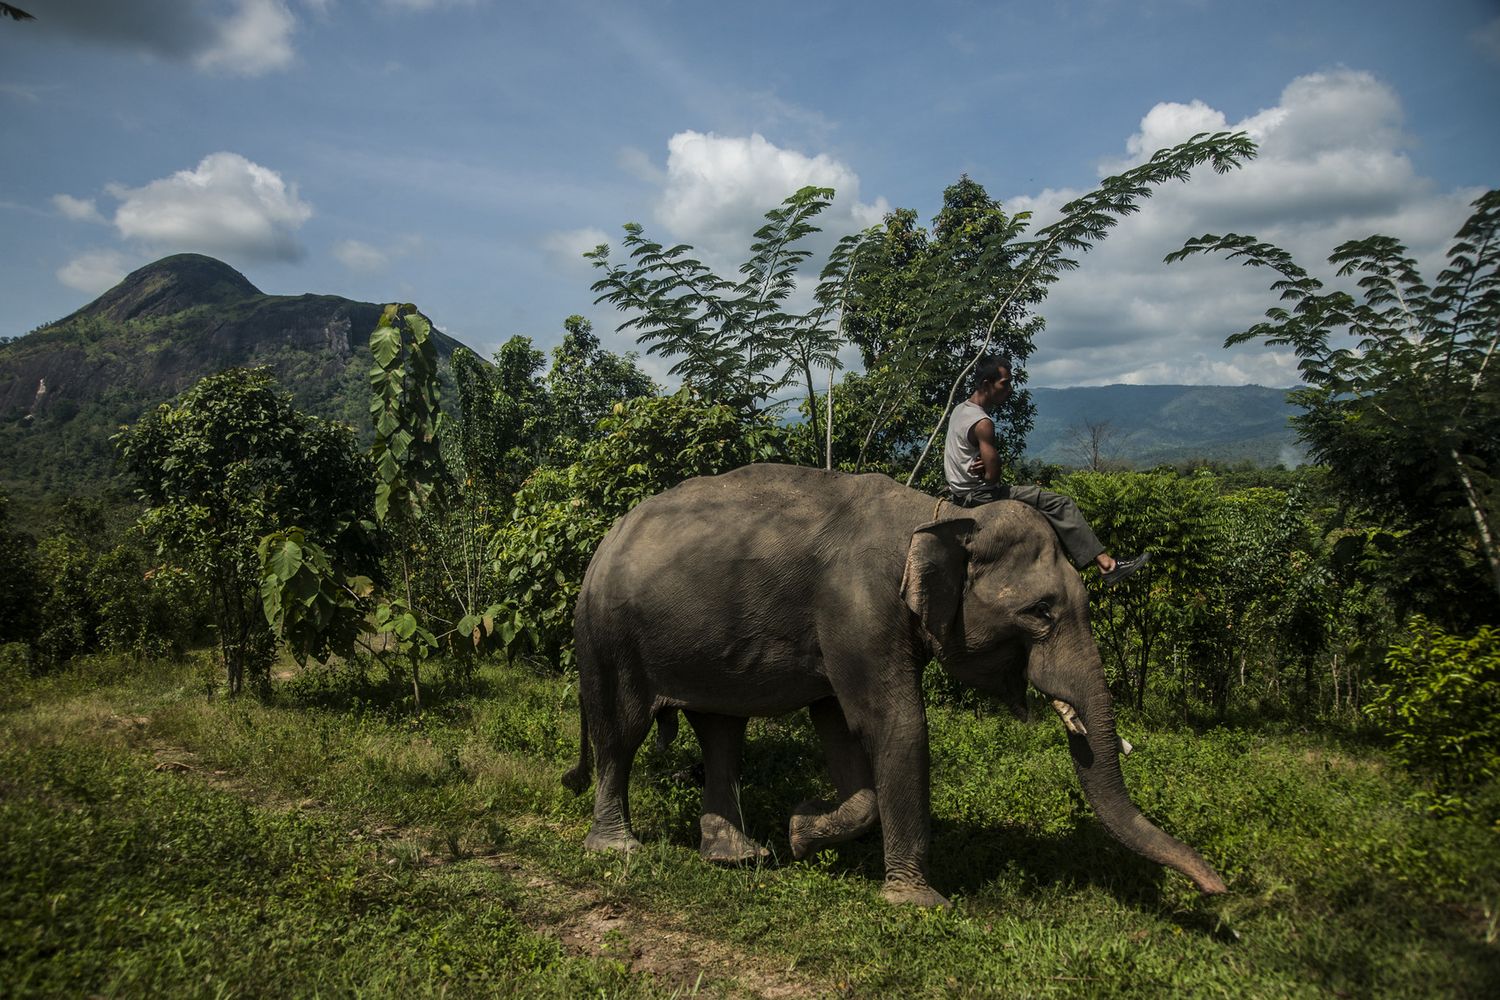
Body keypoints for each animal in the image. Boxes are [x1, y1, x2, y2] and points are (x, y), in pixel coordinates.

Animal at [561, 463, 1226, 906]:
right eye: (1041, 611)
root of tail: (602, 543)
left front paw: (802, 831)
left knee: (720, 732)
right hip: (608, 638)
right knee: (621, 732)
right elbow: (895, 723)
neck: (936, 518)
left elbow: (841, 728)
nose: (1217, 890)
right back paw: (618, 849)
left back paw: (741, 857)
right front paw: (917, 903)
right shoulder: (858, 608)